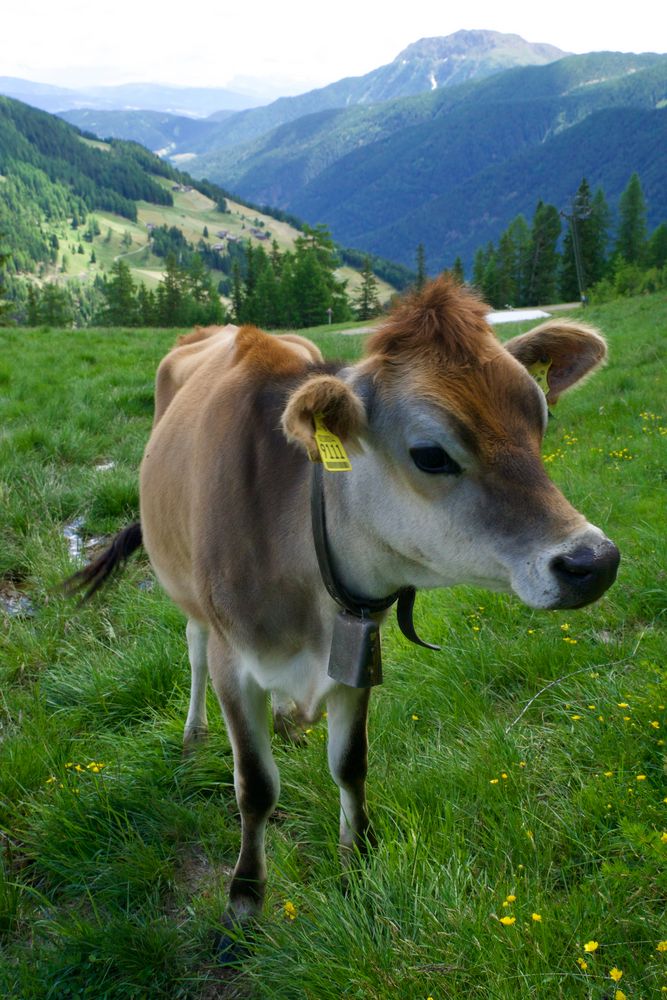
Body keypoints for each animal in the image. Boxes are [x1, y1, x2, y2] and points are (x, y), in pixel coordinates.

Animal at [69, 276, 620, 936]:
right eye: (430, 454)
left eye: (540, 421)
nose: (594, 560)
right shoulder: (236, 661)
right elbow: (255, 786)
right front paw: (244, 898)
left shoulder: (359, 652)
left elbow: (351, 764)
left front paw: (357, 860)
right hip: (185, 590)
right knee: (194, 649)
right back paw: (195, 734)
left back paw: (287, 722)